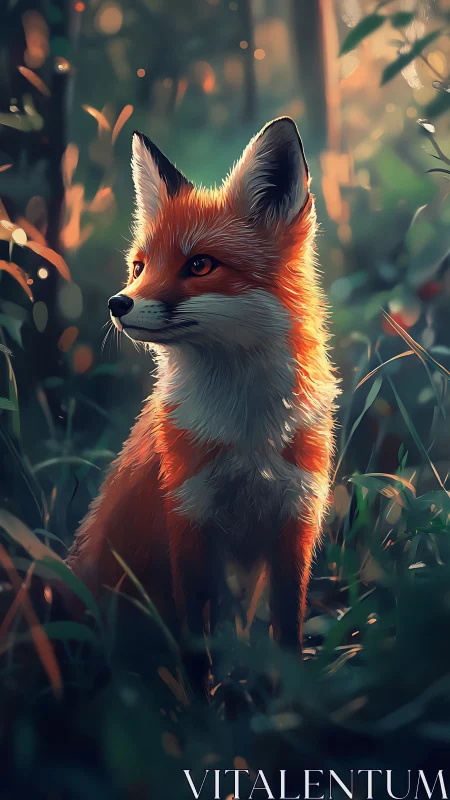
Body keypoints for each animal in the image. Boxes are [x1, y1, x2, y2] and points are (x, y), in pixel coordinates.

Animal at [67, 116, 338, 670]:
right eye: (140, 267)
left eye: (199, 265)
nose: (117, 303)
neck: (247, 432)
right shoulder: (189, 520)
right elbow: (196, 653)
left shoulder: (295, 523)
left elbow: (286, 639)